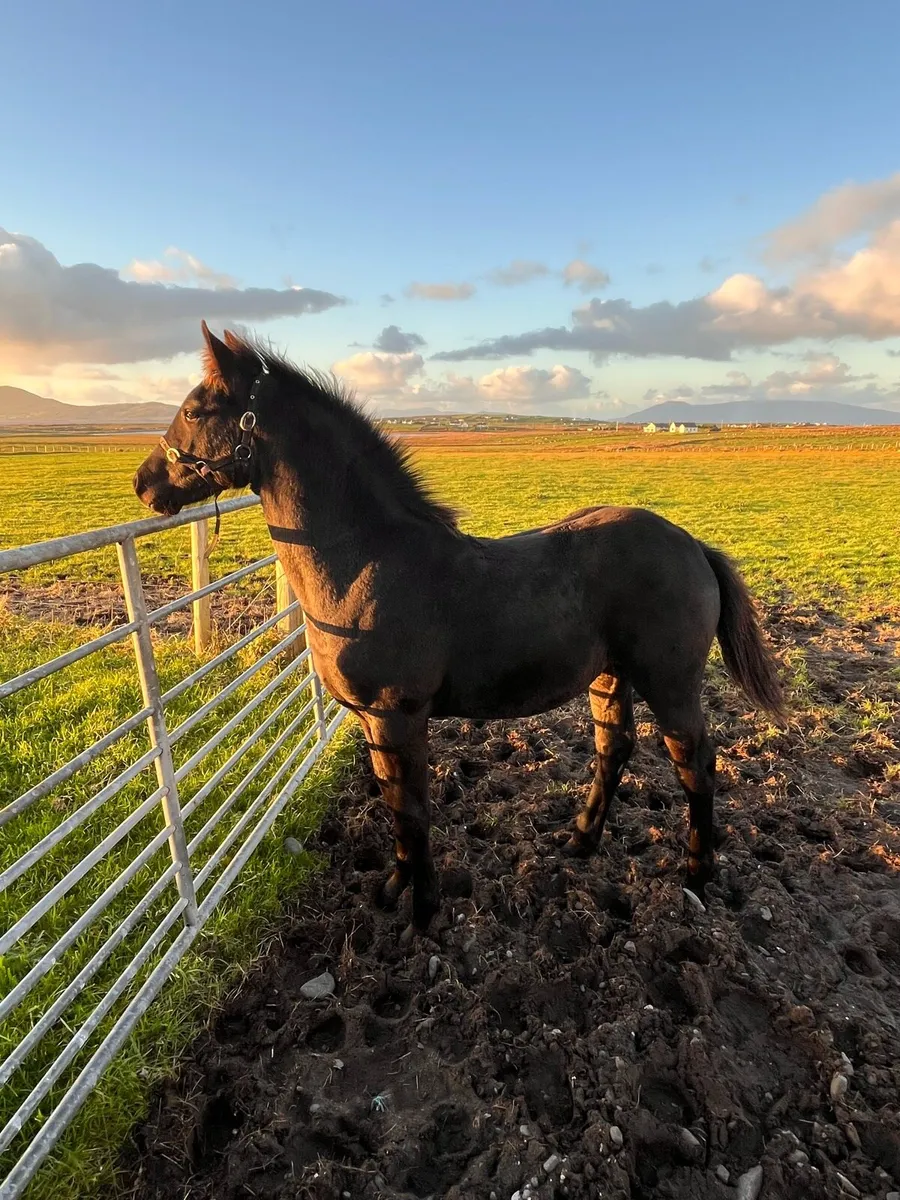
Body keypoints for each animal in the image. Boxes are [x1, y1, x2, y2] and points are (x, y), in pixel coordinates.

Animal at [134, 322, 785, 940]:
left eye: (194, 411)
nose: (144, 483)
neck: (369, 563)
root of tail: (692, 545)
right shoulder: (374, 721)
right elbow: (393, 804)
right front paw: (393, 888)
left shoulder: (398, 716)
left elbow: (413, 811)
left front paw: (424, 915)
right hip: (608, 675)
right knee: (613, 748)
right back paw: (580, 841)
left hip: (671, 684)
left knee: (695, 764)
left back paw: (696, 876)